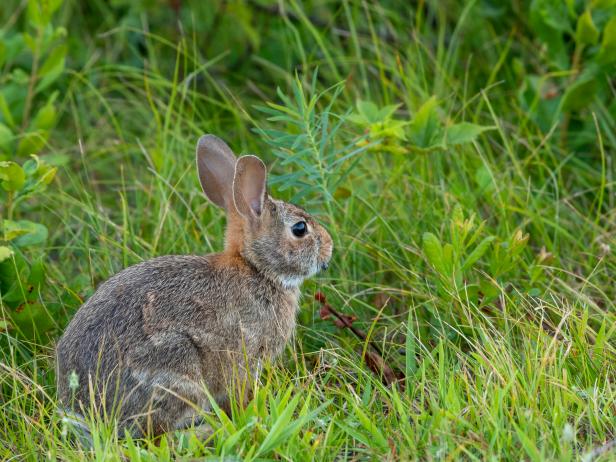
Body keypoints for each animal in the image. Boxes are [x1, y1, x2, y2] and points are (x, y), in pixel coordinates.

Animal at [56, 134, 334, 436]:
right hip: (176, 368)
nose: (329, 248)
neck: (256, 267)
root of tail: (84, 413)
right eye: (300, 229)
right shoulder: (246, 356)